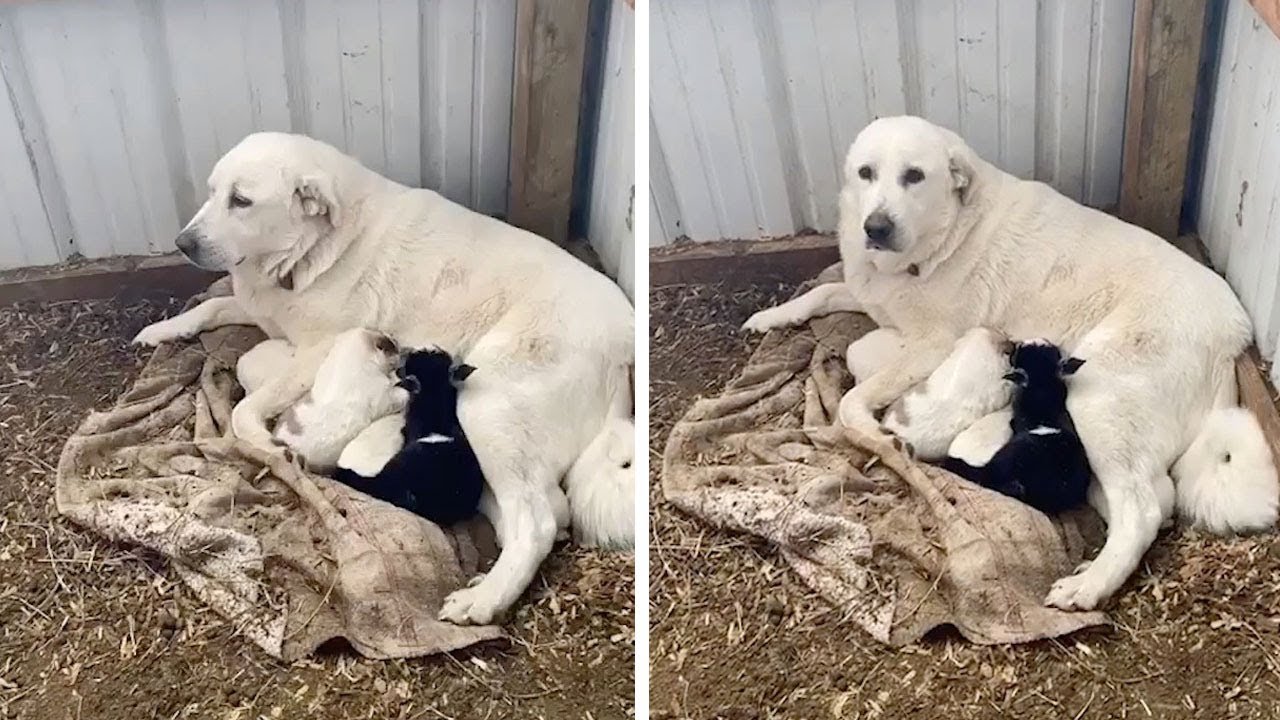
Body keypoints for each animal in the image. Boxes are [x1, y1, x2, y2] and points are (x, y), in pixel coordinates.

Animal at [133, 130, 634, 622]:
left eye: (241, 200)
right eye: (212, 191)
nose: (182, 243)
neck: (314, 249)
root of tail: (623, 344)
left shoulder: (317, 351)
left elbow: (242, 410)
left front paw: (266, 444)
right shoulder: (264, 314)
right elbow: (212, 306)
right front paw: (161, 330)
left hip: (489, 402)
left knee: (539, 522)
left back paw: (483, 602)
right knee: (542, 509)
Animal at [747, 114, 1274, 607]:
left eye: (914, 176)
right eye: (866, 173)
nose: (875, 227)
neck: (942, 237)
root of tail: (1233, 335)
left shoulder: (930, 346)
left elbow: (850, 403)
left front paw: (880, 438)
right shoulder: (872, 298)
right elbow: (822, 294)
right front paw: (771, 316)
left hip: (1099, 395)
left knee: (1142, 512)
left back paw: (1088, 587)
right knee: (1154, 499)